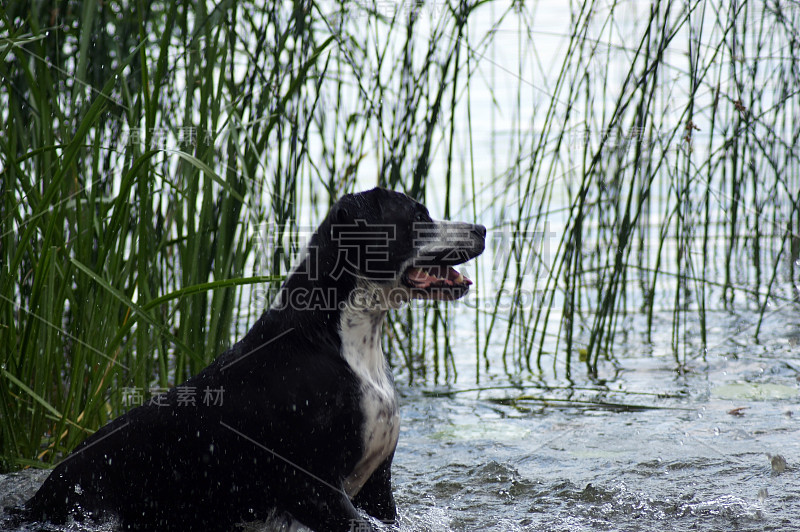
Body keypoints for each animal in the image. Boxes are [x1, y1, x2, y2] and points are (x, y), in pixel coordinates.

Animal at [15, 188, 484, 532]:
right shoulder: (313, 487)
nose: (480, 228)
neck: (337, 341)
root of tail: (39, 497)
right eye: (419, 215)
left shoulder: (377, 486)